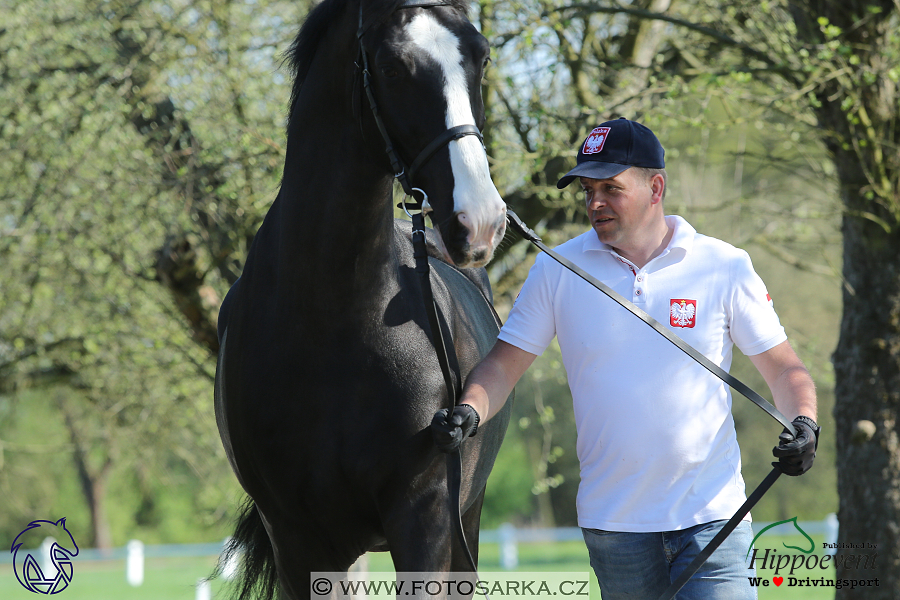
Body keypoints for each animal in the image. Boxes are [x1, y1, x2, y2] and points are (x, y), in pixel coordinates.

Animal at [213, 0, 512, 596]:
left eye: (481, 57)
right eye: (393, 68)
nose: (481, 221)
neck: (333, 320)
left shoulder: (425, 517)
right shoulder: (298, 537)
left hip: (466, 523)